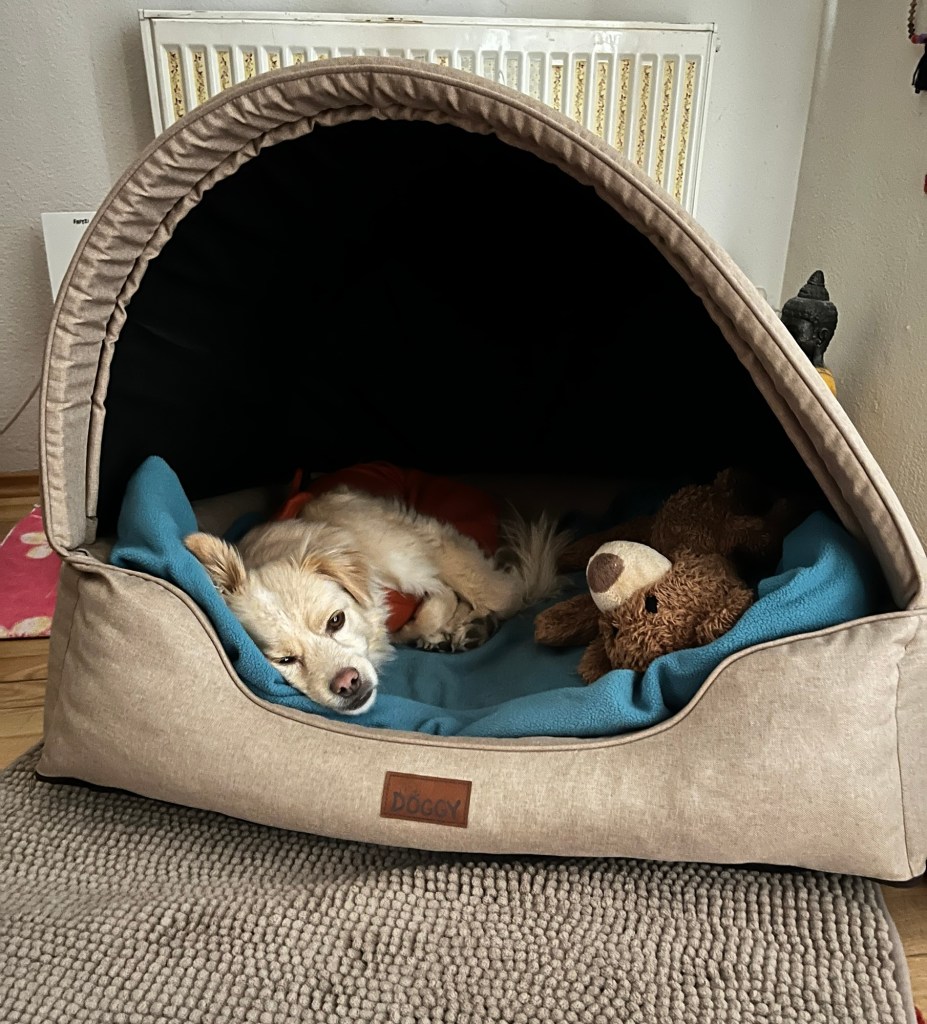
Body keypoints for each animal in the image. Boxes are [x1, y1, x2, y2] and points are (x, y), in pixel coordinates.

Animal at [184, 484, 568, 716]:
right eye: (285, 660)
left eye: (336, 621)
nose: (347, 683)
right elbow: (432, 610)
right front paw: (439, 630)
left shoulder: (426, 546)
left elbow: (493, 594)